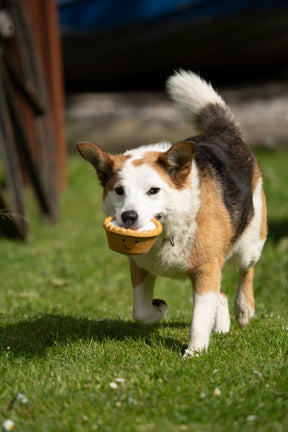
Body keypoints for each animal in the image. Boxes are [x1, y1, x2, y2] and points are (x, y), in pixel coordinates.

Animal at [76, 71, 268, 356]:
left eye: (153, 190)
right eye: (119, 190)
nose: (128, 217)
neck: (172, 228)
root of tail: (222, 131)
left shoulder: (205, 270)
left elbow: (199, 318)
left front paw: (194, 353)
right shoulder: (140, 266)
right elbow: (140, 312)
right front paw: (160, 308)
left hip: (249, 244)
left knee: (247, 272)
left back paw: (244, 310)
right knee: (221, 294)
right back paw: (222, 326)